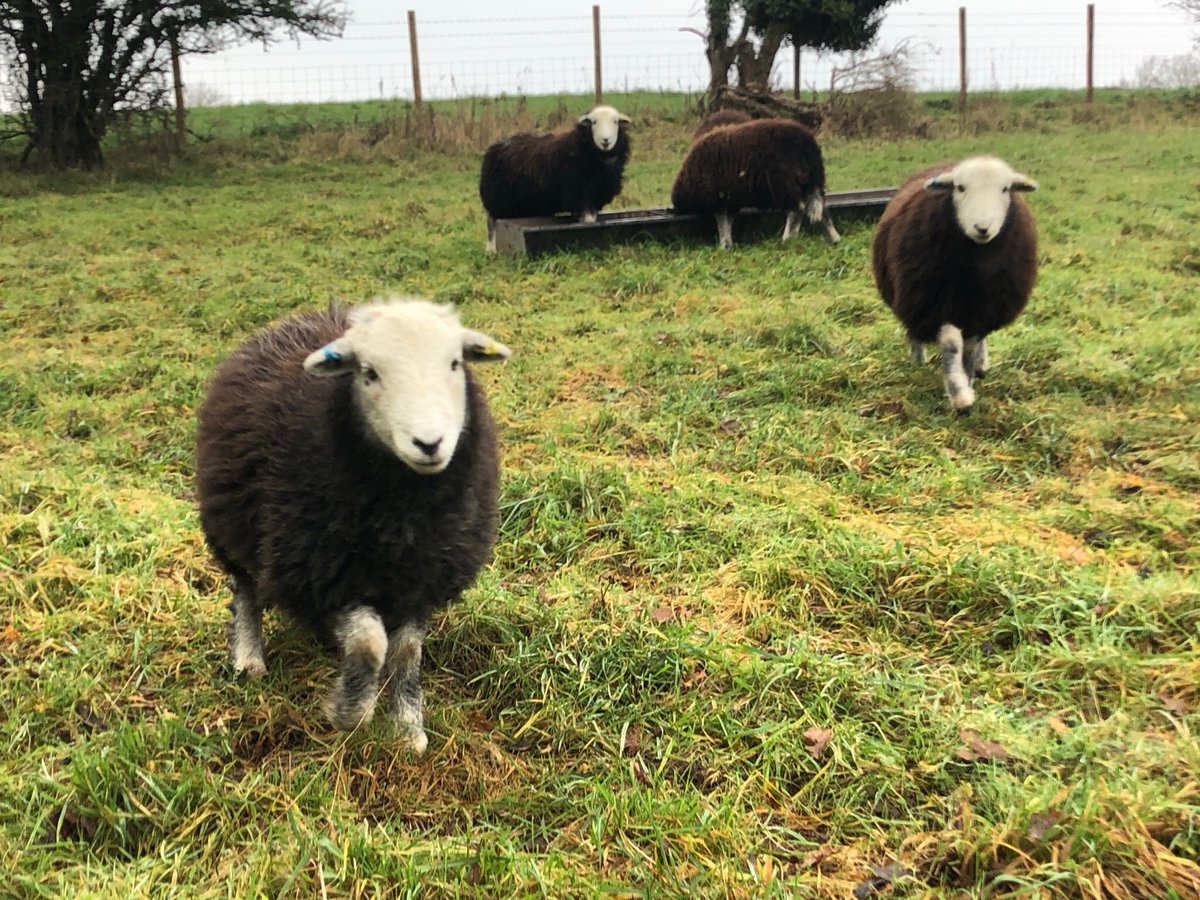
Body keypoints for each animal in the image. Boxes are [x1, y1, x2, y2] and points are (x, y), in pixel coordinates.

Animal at [194, 297, 511, 753]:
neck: (403, 513)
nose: (429, 443)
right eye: (369, 372)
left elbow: (405, 652)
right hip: (237, 521)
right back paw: (249, 657)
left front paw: (407, 727)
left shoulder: (421, 574)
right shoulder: (321, 570)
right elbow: (368, 643)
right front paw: (351, 712)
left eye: (455, 363)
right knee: (247, 589)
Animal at [479, 104, 631, 251]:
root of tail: (497, 145)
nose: (606, 141)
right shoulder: (579, 195)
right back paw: (491, 250)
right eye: (594, 122)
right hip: (498, 200)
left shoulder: (595, 195)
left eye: (615, 122)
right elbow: (587, 222)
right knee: (492, 224)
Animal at [670, 117, 840, 250]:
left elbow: (722, 221)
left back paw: (787, 240)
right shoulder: (731, 200)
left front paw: (724, 244)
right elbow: (728, 221)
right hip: (812, 182)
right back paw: (834, 238)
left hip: (784, 183)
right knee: (822, 210)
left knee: (796, 211)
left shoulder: (718, 198)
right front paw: (728, 244)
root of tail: (809, 144)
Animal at [871, 155, 1039, 414]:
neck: (975, 269)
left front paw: (968, 378)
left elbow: (969, 348)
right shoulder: (935, 303)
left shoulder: (983, 307)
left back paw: (980, 366)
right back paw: (919, 360)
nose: (982, 228)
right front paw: (959, 395)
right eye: (960, 188)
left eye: (1005, 189)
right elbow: (951, 346)